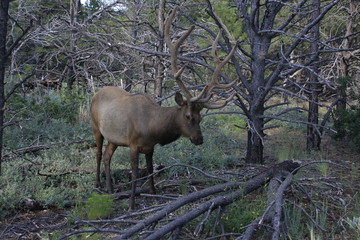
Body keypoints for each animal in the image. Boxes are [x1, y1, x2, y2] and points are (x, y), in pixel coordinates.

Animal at [90, 7, 236, 210]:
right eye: (188, 116)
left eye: (200, 117)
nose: (199, 139)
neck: (152, 128)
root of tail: (96, 93)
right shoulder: (133, 143)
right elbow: (135, 172)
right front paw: (132, 204)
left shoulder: (149, 147)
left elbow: (151, 168)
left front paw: (153, 191)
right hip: (96, 127)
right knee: (97, 154)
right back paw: (97, 184)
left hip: (114, 138)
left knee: (107, 156)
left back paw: (110, 189)